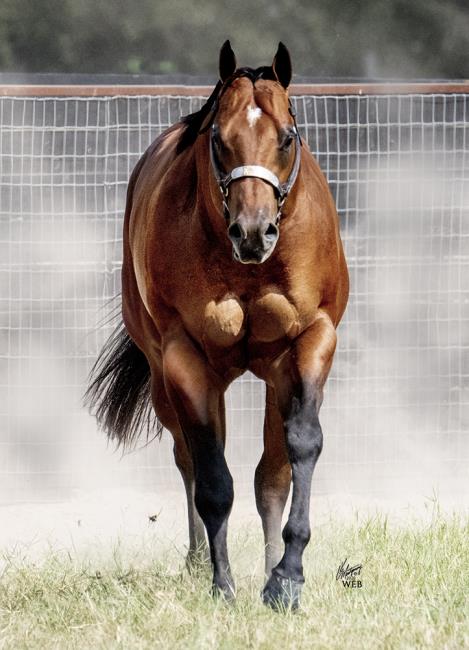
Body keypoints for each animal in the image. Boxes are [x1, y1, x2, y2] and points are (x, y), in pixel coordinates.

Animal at [85, 41, 349, 610]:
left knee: (270, 473)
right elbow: (211, 476)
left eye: (287, 135)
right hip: (170, 377)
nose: (253, 232)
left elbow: (300, 447)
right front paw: (222, 583)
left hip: (273, 374)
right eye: (219, 139)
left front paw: (286, 578)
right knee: (190, 459)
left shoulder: (312, 340)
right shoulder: (186, 358)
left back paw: (269, 565)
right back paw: (197, 559)